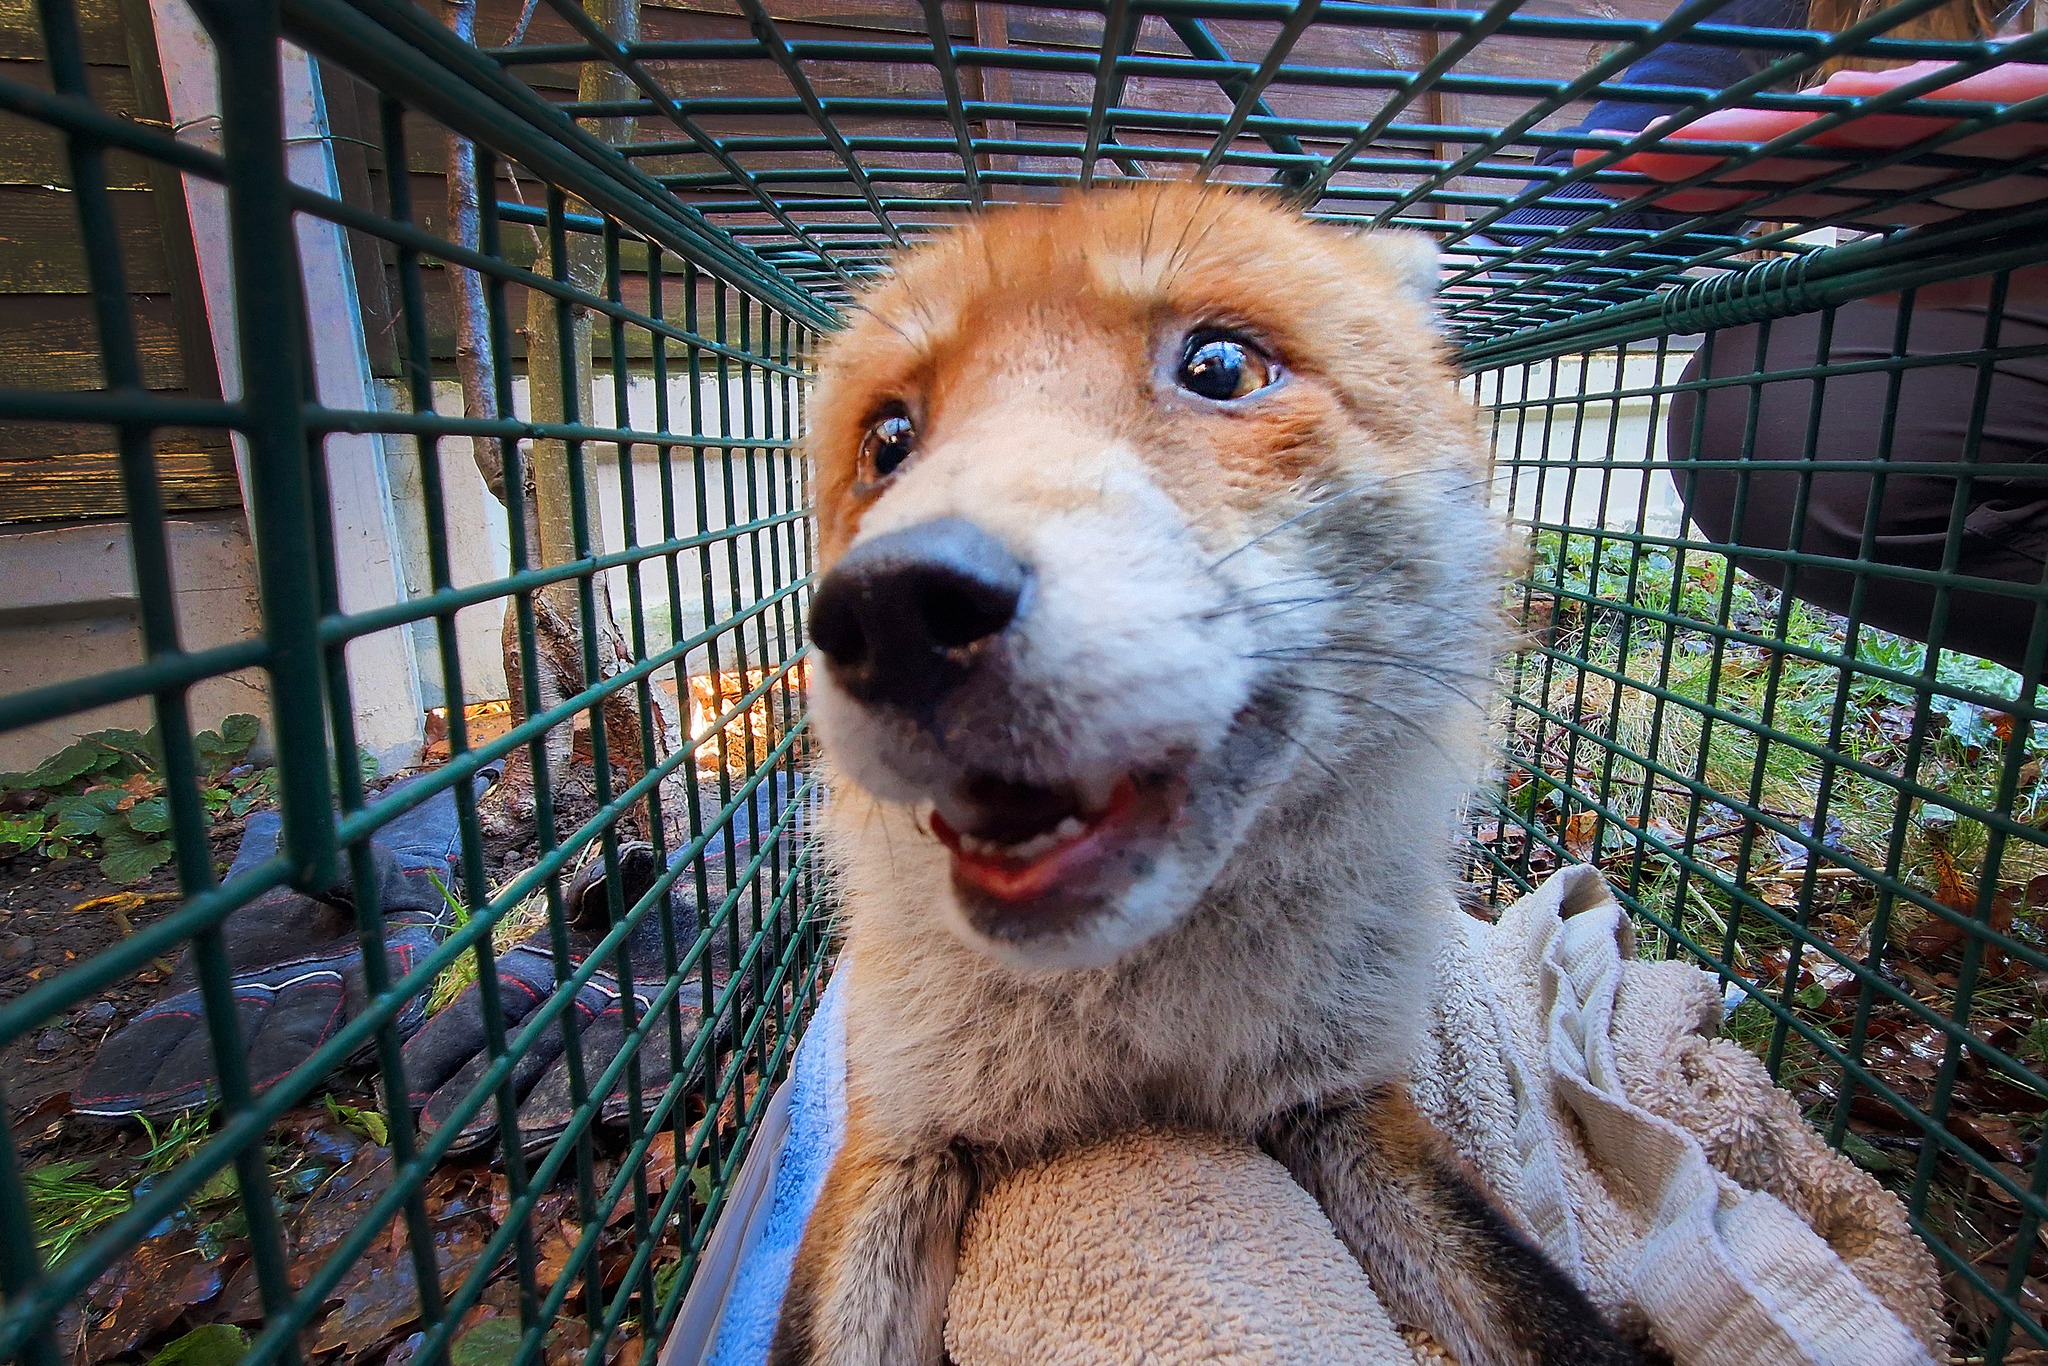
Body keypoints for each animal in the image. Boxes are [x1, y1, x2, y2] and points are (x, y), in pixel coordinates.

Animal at [771, 181, 1647, 1366]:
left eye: (1222, 368)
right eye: (890, 439)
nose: (896, 609)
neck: (1143, 1046)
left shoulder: (1341, 1096)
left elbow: (1549, 1314)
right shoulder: (900, 1126)